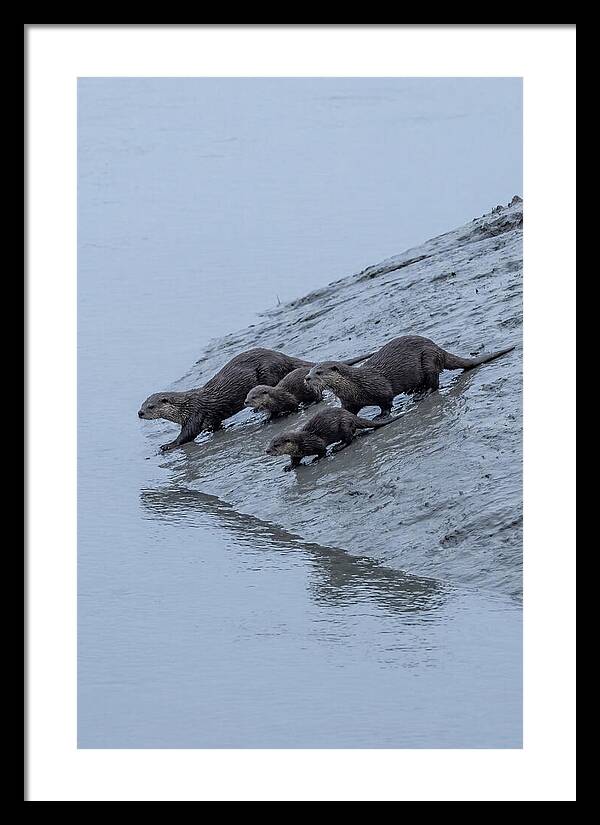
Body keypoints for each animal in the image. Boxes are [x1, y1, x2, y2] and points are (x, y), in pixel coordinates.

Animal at [243, 352, 373, 418]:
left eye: (253, 397)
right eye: (247, 396)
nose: (245, 402)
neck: (275, 398)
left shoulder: (288, 398)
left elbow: (294, 405)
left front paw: (292, 412)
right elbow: (272, 413)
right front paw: (269, 418)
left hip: (313, 389)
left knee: (319, 396)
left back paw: (311, 403)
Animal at [265, 407, 397, 471]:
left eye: (276, 445)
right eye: (270, 443)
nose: (267, 450)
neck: (301, 443)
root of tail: (350, 415)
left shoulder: (315, 442)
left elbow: (322, 450)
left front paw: (316, 459)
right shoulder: (296, 454)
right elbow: (295, 461)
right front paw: (289, 466)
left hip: (344, 425)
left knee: (349, 439)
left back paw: (338, 447)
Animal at [305, 335, 515, 417]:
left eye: (319, 372)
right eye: (309, 371)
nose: (306, 379)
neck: (355, 385)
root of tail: (438, 349)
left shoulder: (380, 387)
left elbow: (386, 401)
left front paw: (381, 416)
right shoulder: (349, 402)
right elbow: (348, 412)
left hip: (428, 359)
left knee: (434, 382)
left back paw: (423, 393)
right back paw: (415, 391)